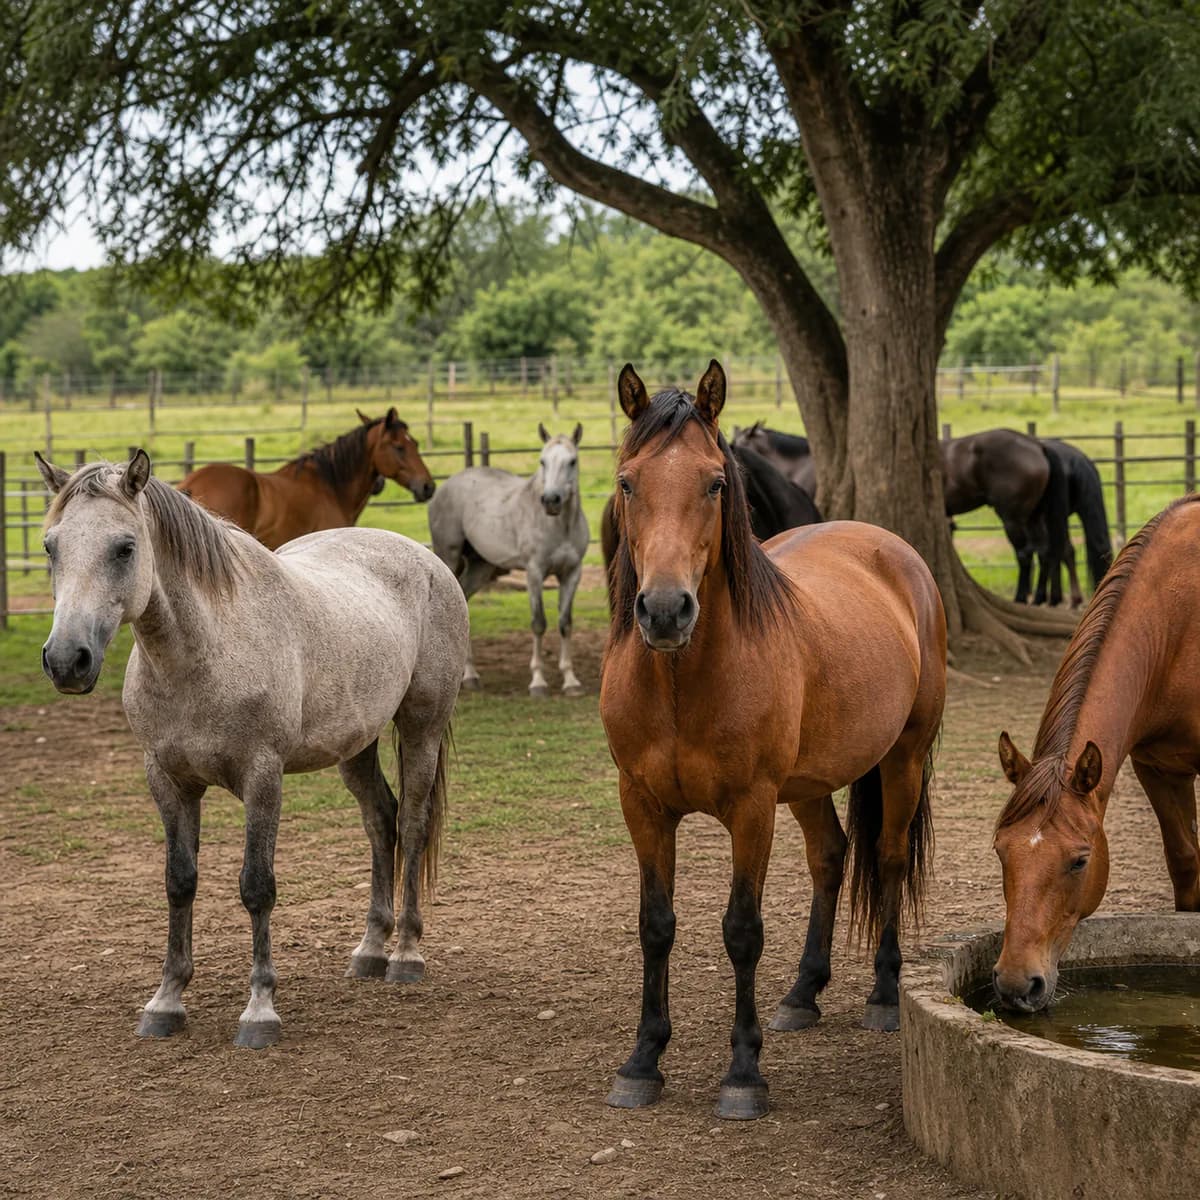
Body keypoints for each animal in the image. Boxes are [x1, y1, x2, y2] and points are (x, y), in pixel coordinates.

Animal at [34, 449, 467, 1048]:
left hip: (421, 727)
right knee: (382, 821)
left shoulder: (263, 778)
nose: (65, 660)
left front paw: (260, 1009)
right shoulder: (167, 781)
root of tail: (424, 558)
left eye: (124, 548)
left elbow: (256, 886)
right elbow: (179, 882)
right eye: (51, 547)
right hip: (356, 745)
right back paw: (370, 950)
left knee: (412, 826)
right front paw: (166, 1001)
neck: (205, 653)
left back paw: (405, 954)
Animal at [428, 423, 589, 697]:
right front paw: (538, 682)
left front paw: (571, 681)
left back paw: (471, 676)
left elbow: (565, 623)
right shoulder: (534, 573)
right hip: (448, 558)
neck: (560, 525)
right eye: (543, 461)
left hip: (481, 567)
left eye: (572, 461)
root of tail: (445, 486)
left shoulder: (572, 573)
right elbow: (539, 623)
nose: (551, 500)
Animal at [941, 428, 1070, 606]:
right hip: (1034, 517)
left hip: (1012, 520)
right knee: (1043, 550)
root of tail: (1037, 445)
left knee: (1024, 554)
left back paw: (1021, 598)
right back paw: (1039, 597)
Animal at [992, 493, 1200, 1013]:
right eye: (1000, 851)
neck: (1179, 624)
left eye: (1080, 861)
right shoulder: (1158, 768)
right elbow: (1186, 861)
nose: (1016, 983)